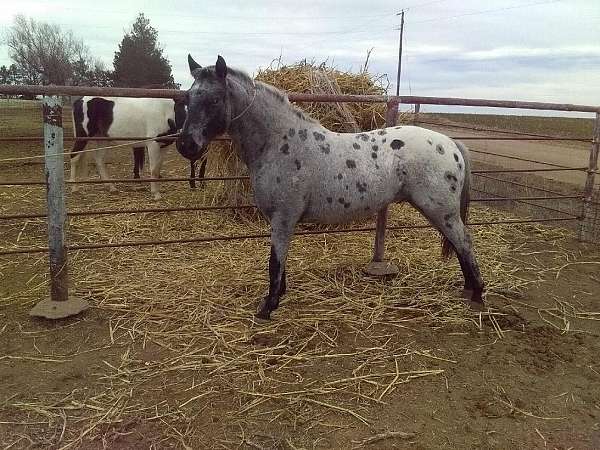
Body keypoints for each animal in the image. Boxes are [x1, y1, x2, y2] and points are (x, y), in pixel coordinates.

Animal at [69, 96, 206, 199]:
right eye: (184, 111)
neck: (165, 112)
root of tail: (79, 101)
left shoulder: (164, 146)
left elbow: (158, 168)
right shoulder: (152, 144)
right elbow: (154, 169)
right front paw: (156, 194)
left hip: (102, 138)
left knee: (99, 160)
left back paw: (112, 187)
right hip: (83, 136)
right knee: (74, 156)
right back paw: (74, 187)